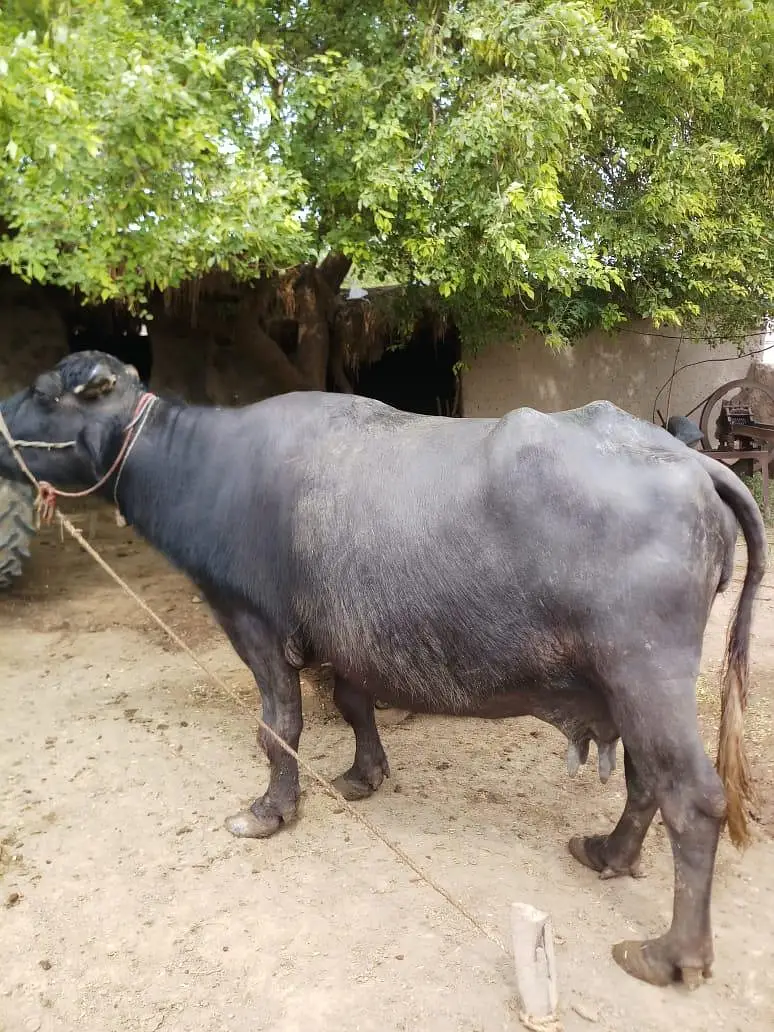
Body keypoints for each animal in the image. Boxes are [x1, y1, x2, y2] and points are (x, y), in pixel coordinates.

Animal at [0, 350, 766, 990]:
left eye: (42, 391)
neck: (207, 469)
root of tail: (694, 463)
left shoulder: (256, 626)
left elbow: (277, 728)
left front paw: (269, 811)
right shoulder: (346, 635)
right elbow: (352, 703)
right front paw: (362, 776)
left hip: (645, 672)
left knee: (692, 796)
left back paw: (668, 954)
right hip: (625, 683)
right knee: (646, 779)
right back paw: (606, 853)